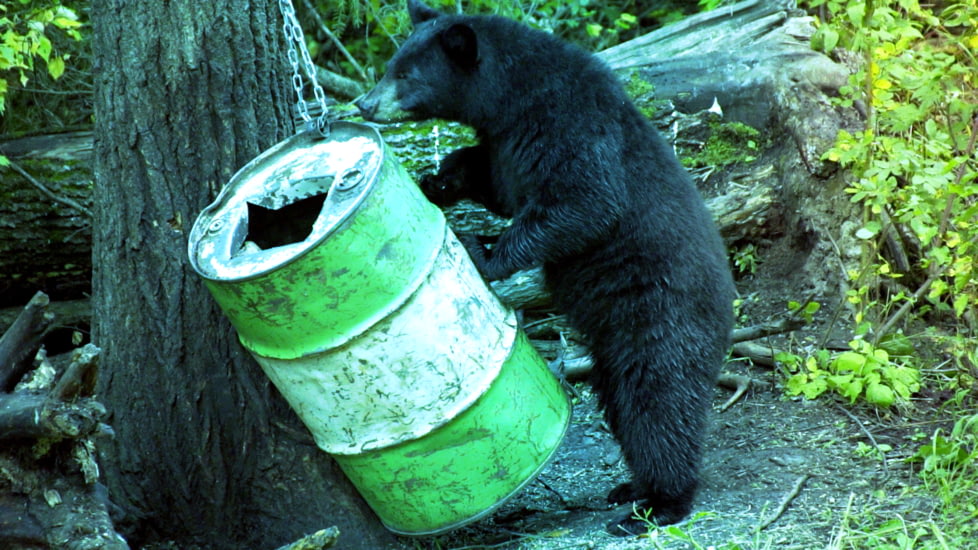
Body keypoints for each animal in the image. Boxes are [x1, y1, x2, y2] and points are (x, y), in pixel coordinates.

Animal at [357, 0, 735, 535]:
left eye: (406, 73)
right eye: (391, 63)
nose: (364, 106)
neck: (513, 98)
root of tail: (730, 313)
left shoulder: (568, 124)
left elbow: (582, 202)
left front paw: (483, 250)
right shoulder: (504, 143)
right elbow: (497, 181)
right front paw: (439, 178)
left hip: (659, 320)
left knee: (660, 402)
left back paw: (658, 503)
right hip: (611, 350)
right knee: (622, 406)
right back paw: (630, 486)